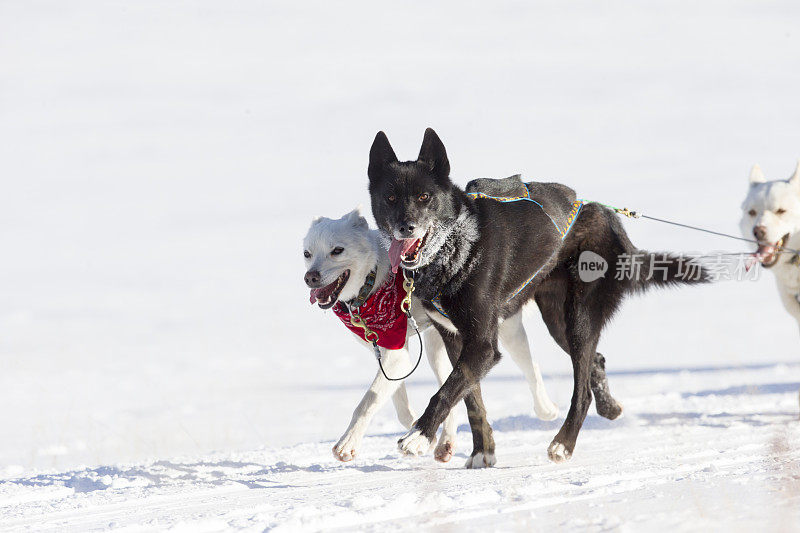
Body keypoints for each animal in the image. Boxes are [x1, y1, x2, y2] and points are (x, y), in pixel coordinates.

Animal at [366, 129, 708, 462]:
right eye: (390, 198)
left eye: (425, 197)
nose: (405, 227)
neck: (456, 249)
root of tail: (608, 217)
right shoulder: (454, 338)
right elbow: (471, 399)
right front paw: (482, 451)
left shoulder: (483, 346)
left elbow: (447, 391)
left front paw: (418, 436)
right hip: (559, 321)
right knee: (596, 360)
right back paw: (609, 408)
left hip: (580, 318)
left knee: (582, 390)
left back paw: (564, 444)